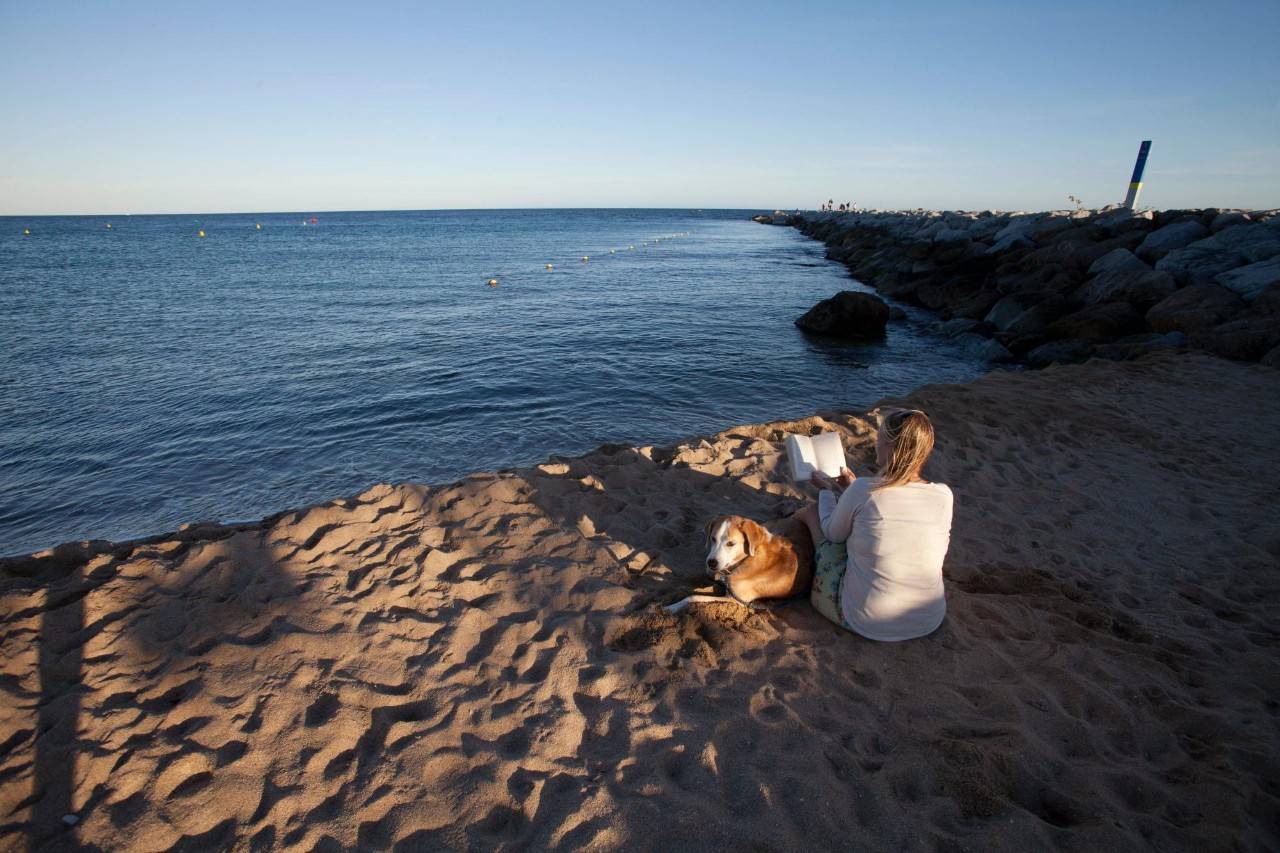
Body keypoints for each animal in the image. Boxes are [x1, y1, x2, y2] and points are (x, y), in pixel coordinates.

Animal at [665, 512, 814, 612]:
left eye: (731, 543)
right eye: (713, 538)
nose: (711, 562)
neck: (745, 560)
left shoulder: (736, 600)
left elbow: (693, 597)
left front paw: (671, 607)